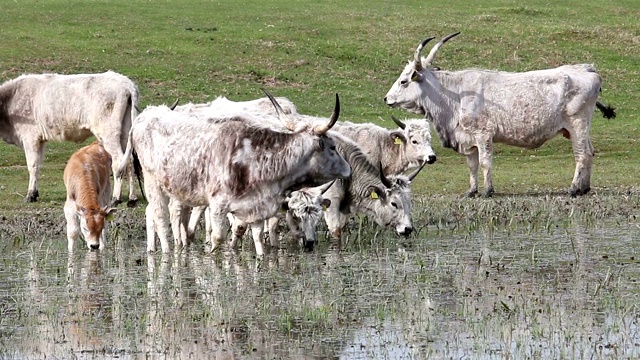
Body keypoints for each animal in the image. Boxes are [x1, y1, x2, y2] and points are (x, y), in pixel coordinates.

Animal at [0, 71, 139, 204]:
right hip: (125, 132)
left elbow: (32, 165)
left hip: (109, 132)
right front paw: (35, 193)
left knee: (119, 162)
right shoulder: (40, 140)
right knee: (130, 161)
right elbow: (38, 165)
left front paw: (30, 195)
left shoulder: (30, 137)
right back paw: (132, 197)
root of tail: (126, 83)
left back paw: (116, 198)